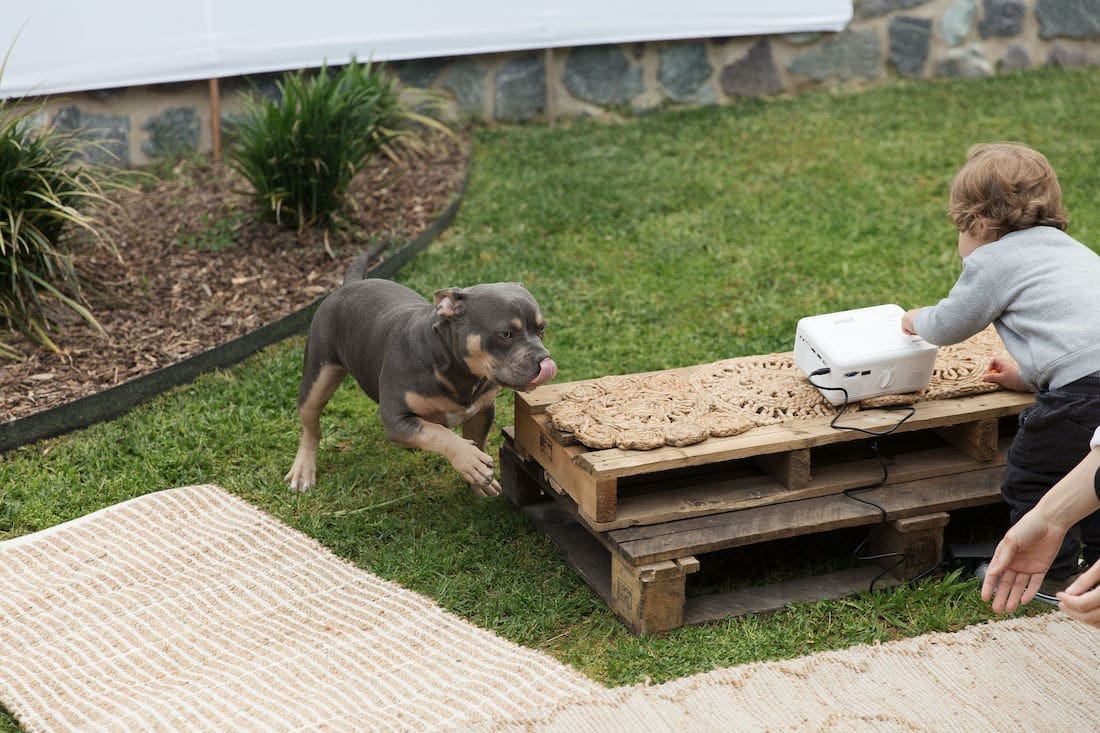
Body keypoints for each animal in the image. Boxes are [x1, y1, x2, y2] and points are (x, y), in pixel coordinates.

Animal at [286, 259, 558, 493]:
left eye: (542, 329)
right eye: (505, 334)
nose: (544, 359)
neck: (458, 371)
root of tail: (351, 284)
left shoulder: (481, 412)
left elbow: (475, 439)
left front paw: (479, 480)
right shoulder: (397, 420)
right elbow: (437, 432)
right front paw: (471, 461)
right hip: (318, 377)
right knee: (310, 425)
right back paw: (303, 470)